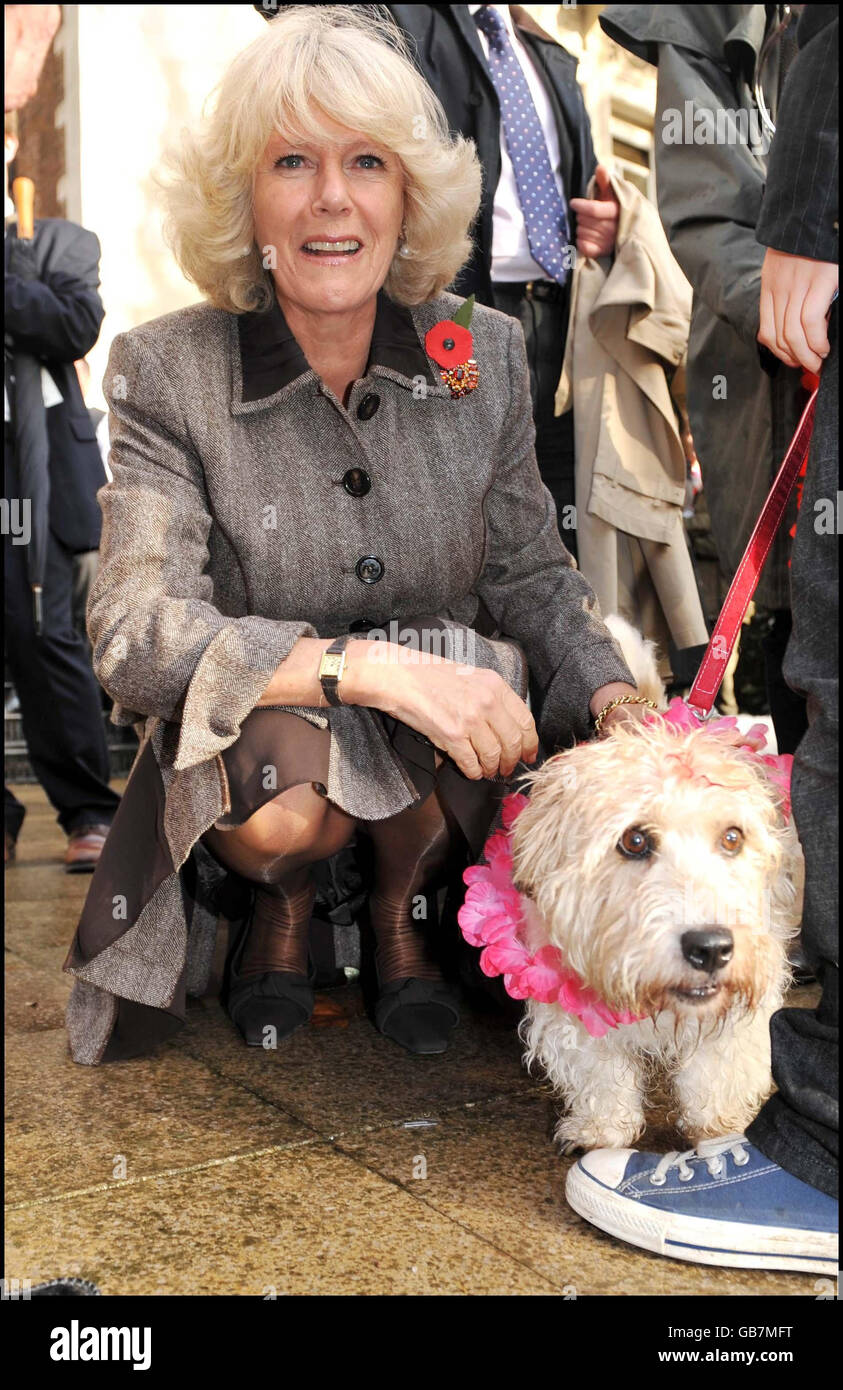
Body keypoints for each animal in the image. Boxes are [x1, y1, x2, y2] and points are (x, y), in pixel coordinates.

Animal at [511, 619, 801, 1150]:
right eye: (634, 840)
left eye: (733, 837)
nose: (711, 948)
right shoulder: (569, 995)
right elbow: (596, 1067)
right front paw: (602, 1128)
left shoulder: (750, 984)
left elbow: (719, 1064)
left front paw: (720, 1129)